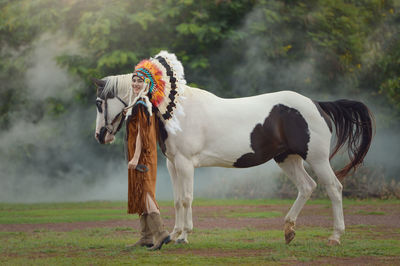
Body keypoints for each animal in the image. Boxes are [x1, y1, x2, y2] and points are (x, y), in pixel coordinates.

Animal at [94, 51, 376, 246]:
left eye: (99, 102)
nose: (100, 136)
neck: (177, 111)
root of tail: (317, 104)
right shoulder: (172, 164)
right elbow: (176, 200)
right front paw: (173, 234)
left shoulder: (185, 164)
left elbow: (186, 198)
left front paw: (184, 235)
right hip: (287, 159)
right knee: (307, 187)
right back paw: (289, 230)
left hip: (316, 159)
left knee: (334, 188)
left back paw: (335, 237)